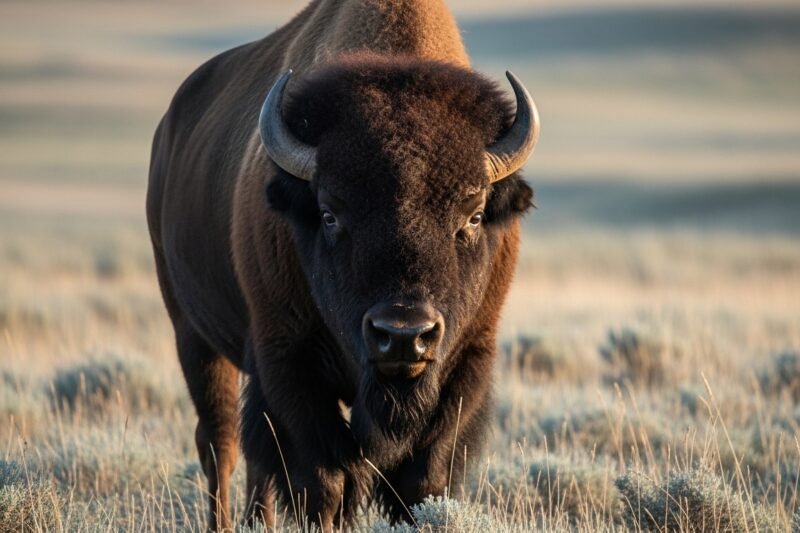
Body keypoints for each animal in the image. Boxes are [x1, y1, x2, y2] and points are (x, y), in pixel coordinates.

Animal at [146, 0, 539, 530]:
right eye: (330, 213)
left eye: (474, 215)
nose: (403, 335)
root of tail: (168, 130)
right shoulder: (288, 361)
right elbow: (325, 482)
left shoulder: (467, 363)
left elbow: (421, 483)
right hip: (193, 335)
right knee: (220, 444)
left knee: (251, 459)